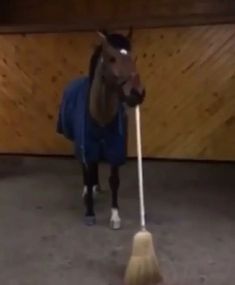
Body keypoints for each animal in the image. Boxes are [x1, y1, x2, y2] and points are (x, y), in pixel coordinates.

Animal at [57, 28, 145, 229]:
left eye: (133, 57)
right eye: (112, 58)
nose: (137, 94)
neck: (101, 114)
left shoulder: (115, 149)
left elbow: (114, 181)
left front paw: (115, 216)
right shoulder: (87, 145)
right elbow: (88, 173)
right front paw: (89, 213)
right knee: (86, 169)